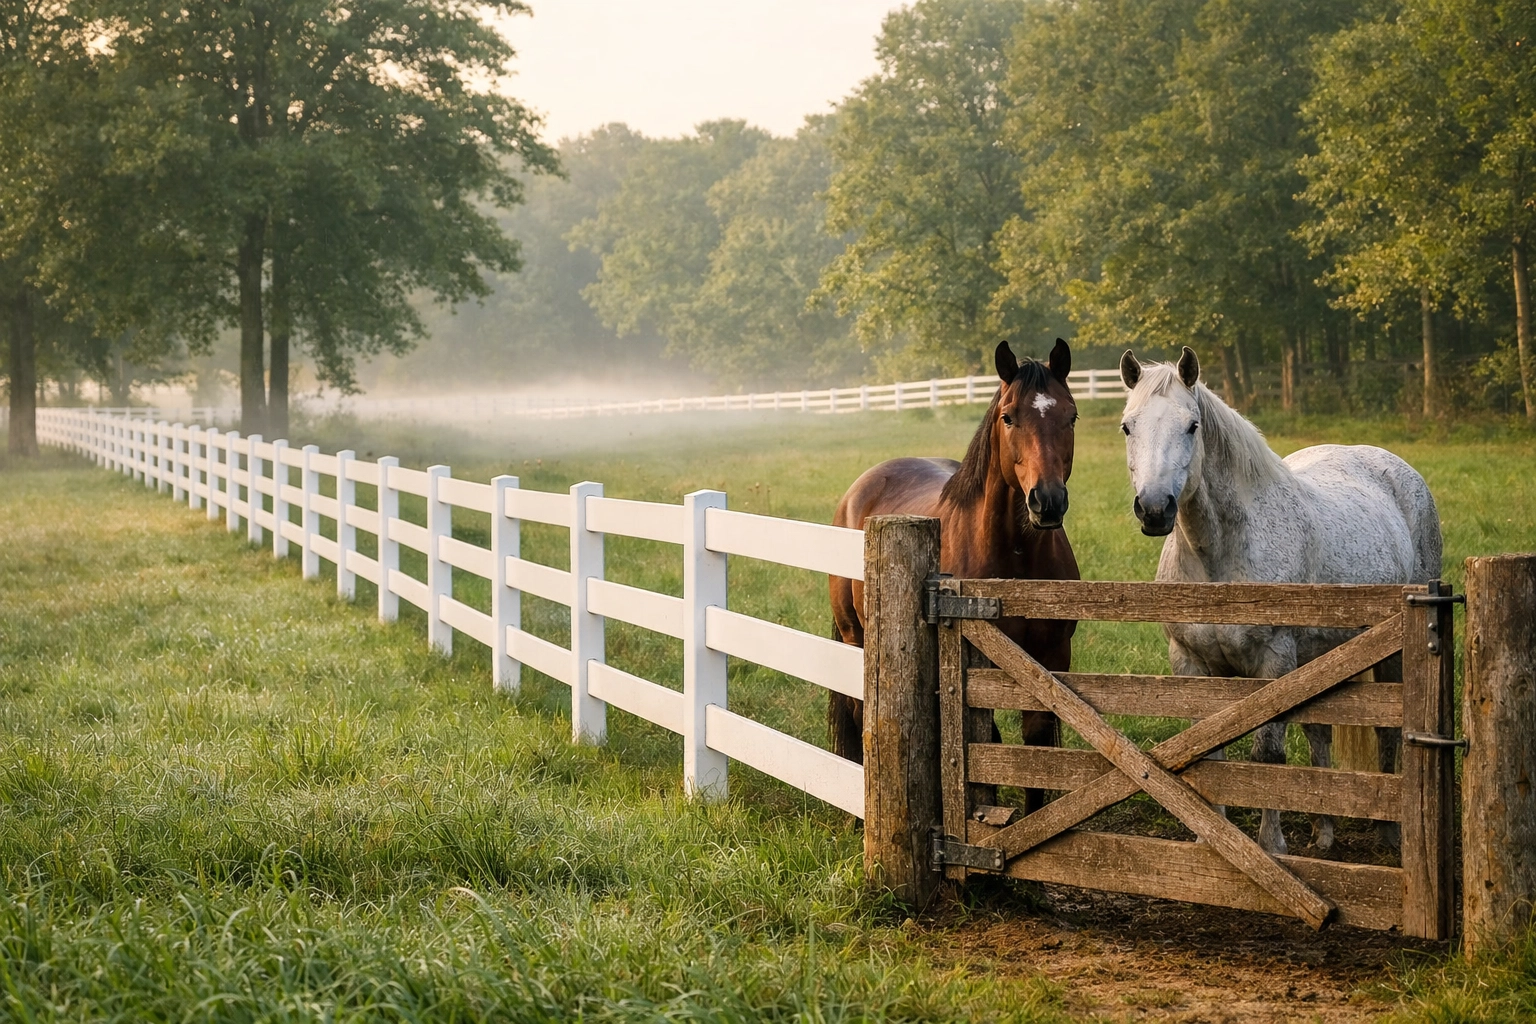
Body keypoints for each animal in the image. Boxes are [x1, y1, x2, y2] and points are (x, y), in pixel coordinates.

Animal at [828, 339, 1081, 808]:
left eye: (1070, 415)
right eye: (1008, 416)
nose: (1048, 501)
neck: (1013, 561)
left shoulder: (1051, 657)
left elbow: (1035, 747)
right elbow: (987, 738)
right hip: (856, 636)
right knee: (857, 710)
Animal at [1118, 347, 1441, 855]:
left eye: (1192, 426)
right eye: (1128, 426)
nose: (1154, 508)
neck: (1219, 558)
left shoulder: (1273, 663)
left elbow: (1267, 755)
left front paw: (1270, 846)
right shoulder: (1192, 664)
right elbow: (1208, 752)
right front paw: (1212, 842)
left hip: (1388, 655)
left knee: (1386, 730)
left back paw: (1390, 832)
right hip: (1321, 657)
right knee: (1319, 731)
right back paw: (1324, 831)